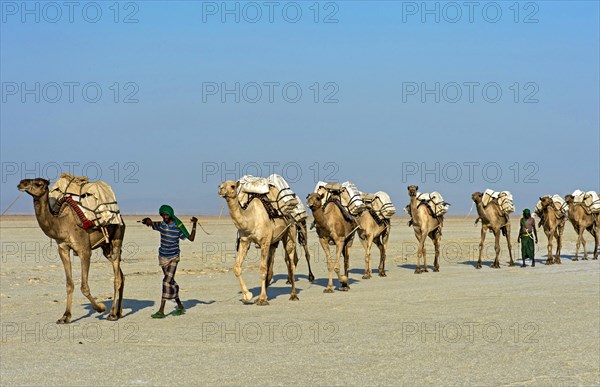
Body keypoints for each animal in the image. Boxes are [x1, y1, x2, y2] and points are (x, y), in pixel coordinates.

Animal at [17, 179, 124, 324]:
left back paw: (112, 314)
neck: (61, 224)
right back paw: (119, 312)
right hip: (105, 247)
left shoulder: (84, 250)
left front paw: (101, 308)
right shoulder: (63, 248)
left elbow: (84, 287)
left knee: (117, 277)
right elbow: (69, 284)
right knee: (121, 275)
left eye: (38, 183)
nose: (21, 183)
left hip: (117, 237)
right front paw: (65, 316)